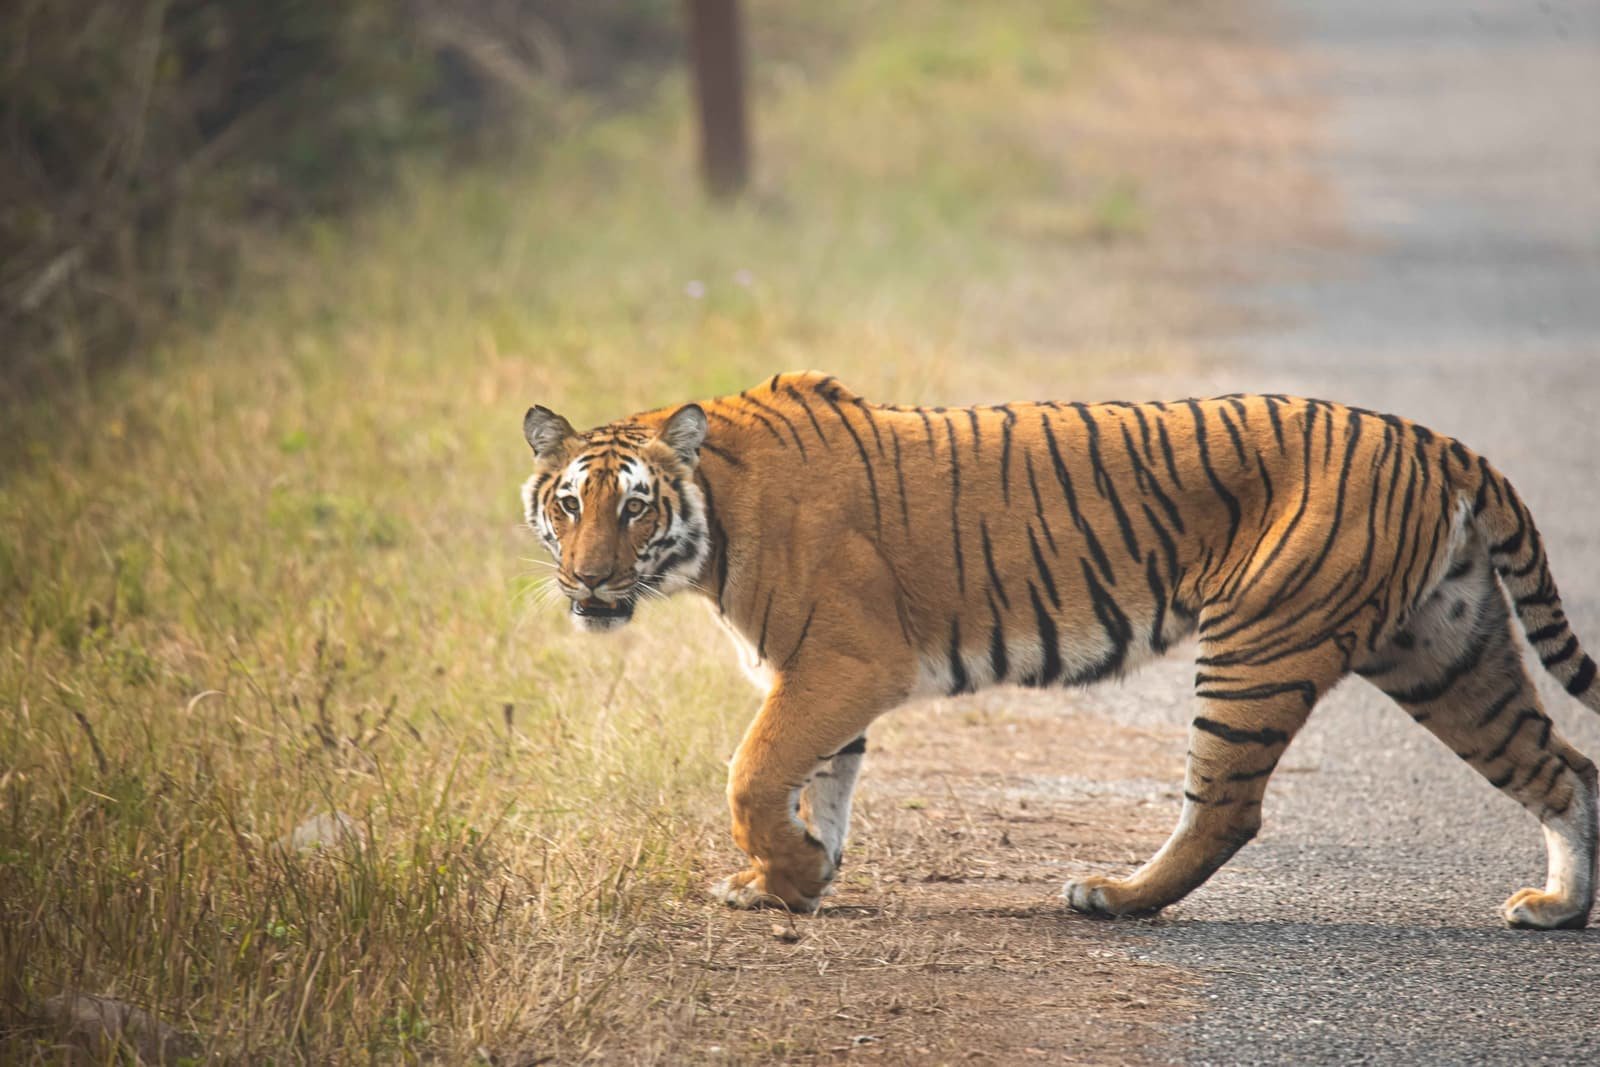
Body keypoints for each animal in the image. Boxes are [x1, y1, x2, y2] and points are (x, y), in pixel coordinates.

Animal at [520, 370, 1600, 929]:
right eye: (567, 504)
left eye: (633, 506)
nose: (587, 582)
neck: (714, 517)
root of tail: (1436, 441)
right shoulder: (819, 676)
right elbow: (821, 779)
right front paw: (798, 878)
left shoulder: (845, 662)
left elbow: (752, 771)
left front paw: (780, 873)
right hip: (1445, 649)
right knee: (1563, 765)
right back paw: (1557, 906)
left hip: (1260, 645)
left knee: (1227, 807)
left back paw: (1112, 896)